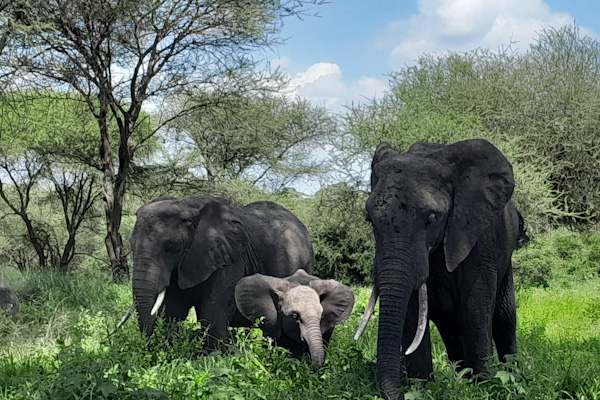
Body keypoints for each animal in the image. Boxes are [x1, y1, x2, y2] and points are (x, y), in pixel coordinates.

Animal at [130, 195, 314, 348]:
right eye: (131, 244)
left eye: (170, 247)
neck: (187, 206)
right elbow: (173, 310)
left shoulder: (229, 260)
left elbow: (212, 312)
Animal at [356, 139, 524, 398]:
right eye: (369, 220)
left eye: (431, 219)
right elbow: (413, 312)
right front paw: (422, 389)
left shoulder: (480, 237)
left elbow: (474, 310)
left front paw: (485, 387)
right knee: (450, 327)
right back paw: (462, 378)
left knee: (504, 316)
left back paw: (510, 378)